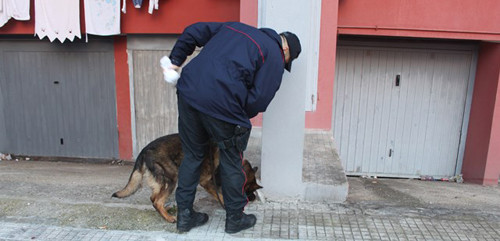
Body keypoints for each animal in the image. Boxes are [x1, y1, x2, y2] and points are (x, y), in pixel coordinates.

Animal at [113, 133, 262, 223]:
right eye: (249, 190)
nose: (253, 198)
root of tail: (144, 150)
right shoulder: (206, 182)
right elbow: (220, 195)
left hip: (161, 182)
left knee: (154, 198)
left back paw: (166, 210)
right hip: (172, 179)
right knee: (157, 201)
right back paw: (169, 218)